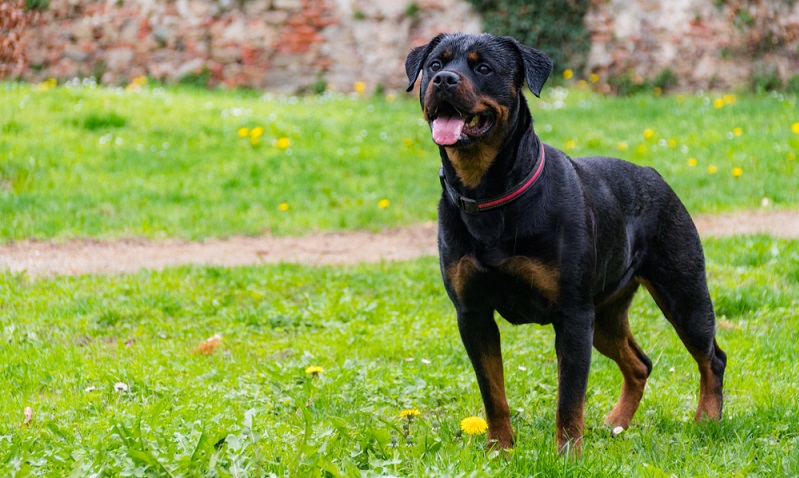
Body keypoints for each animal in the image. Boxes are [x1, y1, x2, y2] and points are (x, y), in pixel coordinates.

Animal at [406, 32, 724, 452]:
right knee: (640, 363)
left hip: (682, 292)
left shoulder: (572, 315)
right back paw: (617, 424)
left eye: (483, 68)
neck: (490, 193)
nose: (445, 80)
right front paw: (499, 449)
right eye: (434, 65)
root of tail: (654, 174)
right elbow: (493, 393)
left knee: (711, 357)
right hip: (605, 314)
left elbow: (570, 397)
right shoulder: (473, 314)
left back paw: (707, 419)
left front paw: (568, 453)